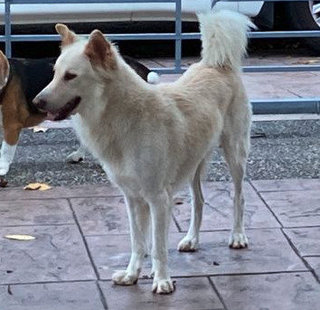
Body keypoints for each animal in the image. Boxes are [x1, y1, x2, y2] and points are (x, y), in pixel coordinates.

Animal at [32, 10, 252, 294]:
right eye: (54, 73)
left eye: (70, 76)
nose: (36, 102)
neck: (122, 115)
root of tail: (218, 65)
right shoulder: (132, 197)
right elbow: (137, 242)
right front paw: (131, 275)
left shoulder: (158, 198)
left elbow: (157, 246)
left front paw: (162, 281)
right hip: (195, 163)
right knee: (199, 201)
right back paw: (191, 239)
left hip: (234, 154)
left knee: (239, 197)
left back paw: (237, 236)